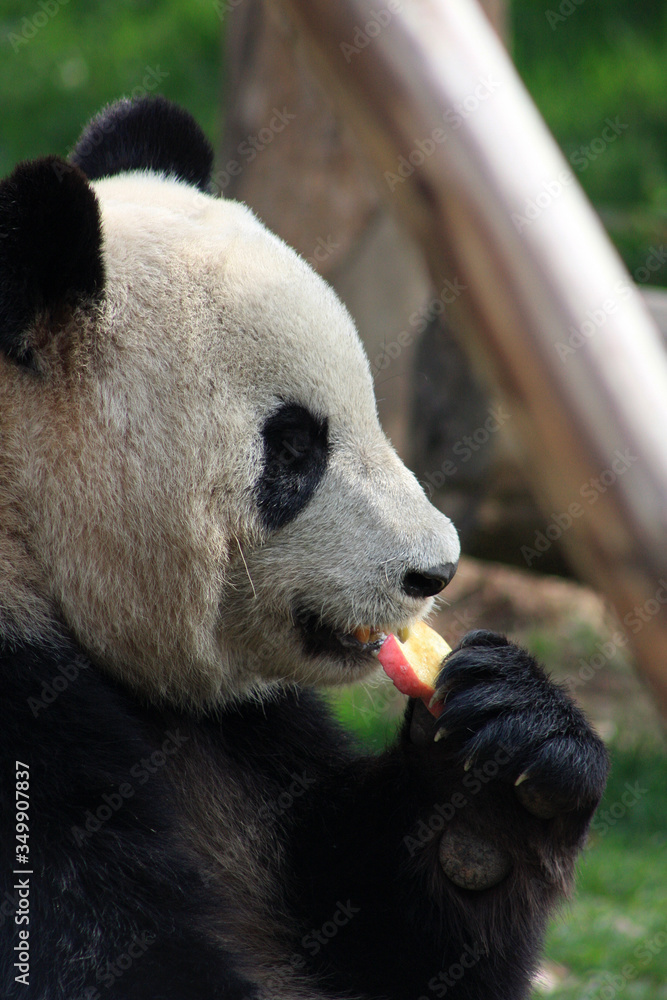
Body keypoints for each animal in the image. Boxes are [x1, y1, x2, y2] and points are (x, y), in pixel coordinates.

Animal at [0, 97, 608, 1000]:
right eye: (292, 447)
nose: (434, 570)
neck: (30, 536)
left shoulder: (242, 736)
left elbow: (369, 924)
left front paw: (510, 756)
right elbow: (103, 952)